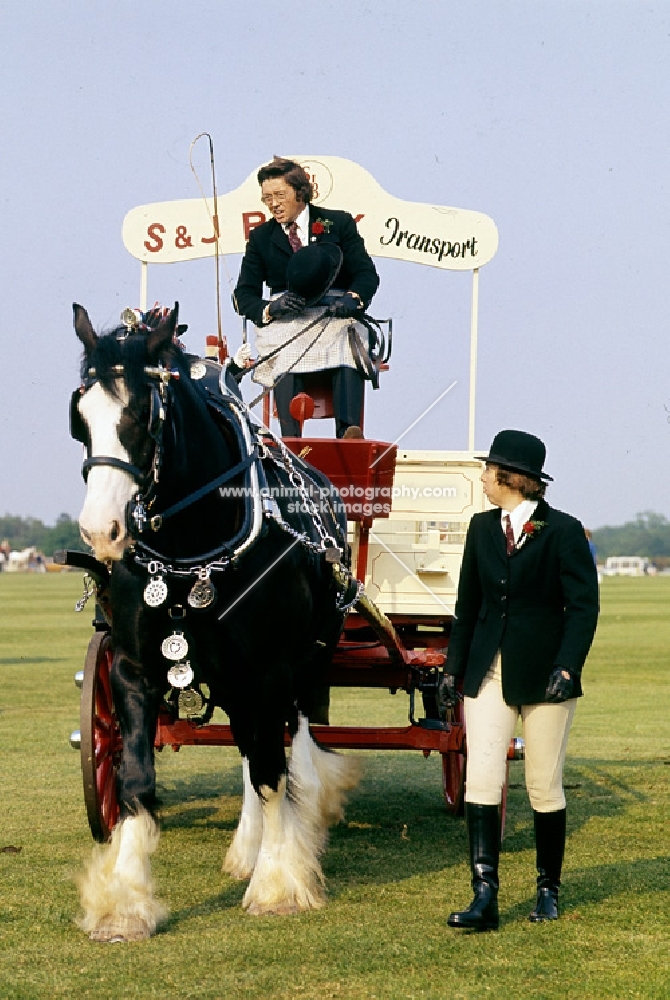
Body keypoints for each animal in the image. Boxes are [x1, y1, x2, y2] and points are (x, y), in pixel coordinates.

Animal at [71, 300, 360, 940]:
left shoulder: (270, 671)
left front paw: (278, 885)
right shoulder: (132, 668)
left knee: (286, 741)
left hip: (304, 662)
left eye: (142, 415)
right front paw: (124, 901)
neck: (192, 544)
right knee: (250, 745)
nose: (101, 532)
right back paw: (250, 846)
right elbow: (135, 779)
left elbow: (273, 772)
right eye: (79, 416)